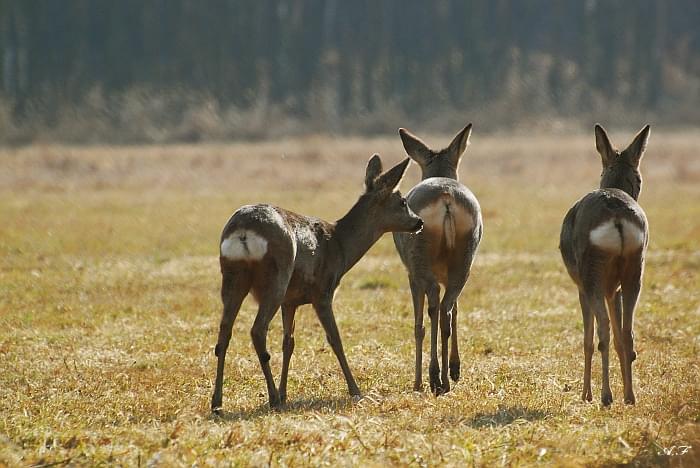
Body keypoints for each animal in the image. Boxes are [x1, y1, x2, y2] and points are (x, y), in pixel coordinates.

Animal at [211, 154, 424, 410]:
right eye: (402, 202)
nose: (419, 222)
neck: (340, 247)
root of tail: (243, 231)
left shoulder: (290, 301)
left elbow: (289, 342)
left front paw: (285, 392)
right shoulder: (323, 291)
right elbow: (335, 339)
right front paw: (355, 390)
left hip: (232, 277)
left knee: (224, 332)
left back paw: (217, 401)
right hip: (277, 277)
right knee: (257, 330)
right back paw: (272, 398)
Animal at [392, 124, 484, 394]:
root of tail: (446, 198)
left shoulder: (411, 274)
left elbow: (418, 323)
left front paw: (417, 381)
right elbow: (458, 310)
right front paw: (455, 368)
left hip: (419, 259)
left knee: (433, 306)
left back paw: (432, 377)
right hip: (465, 259)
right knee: (447, 310)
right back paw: (446, 377)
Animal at [556, 124, 652, 406]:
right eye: (639, 178)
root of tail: (617, 216)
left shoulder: (581, 286)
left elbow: (587, 339)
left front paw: (585, 393)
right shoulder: (614, 288)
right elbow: (621, 337)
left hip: (592, 274)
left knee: (603, 332)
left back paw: (604, 396)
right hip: (635, 268)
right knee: (627, 332)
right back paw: (630, 396)